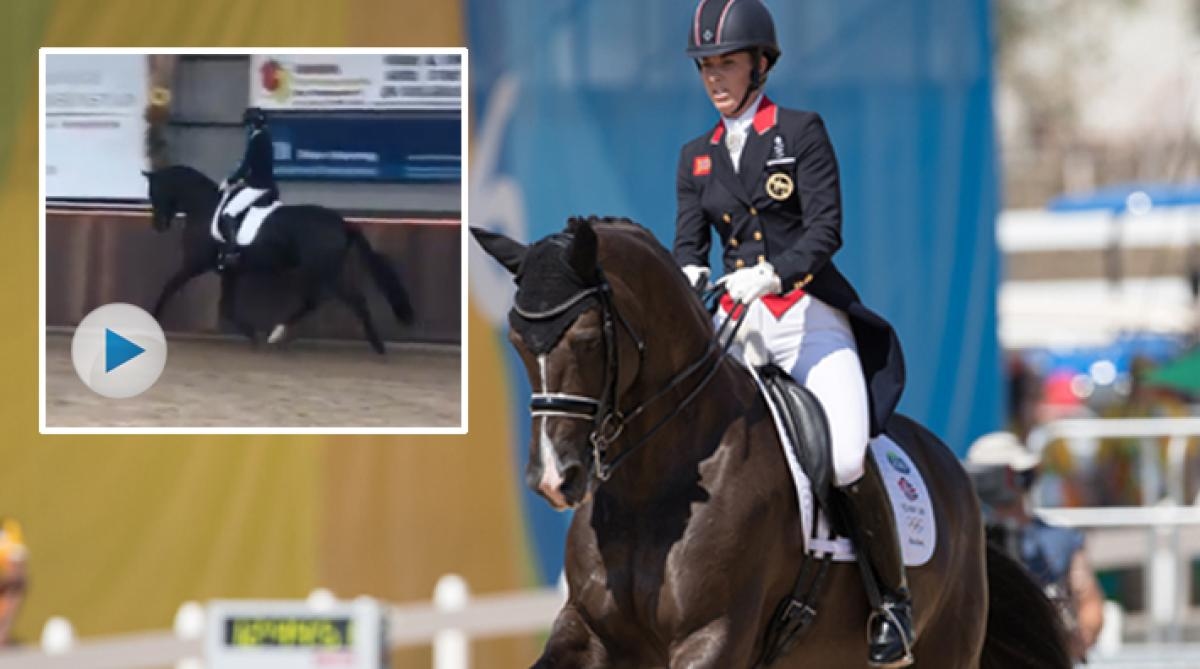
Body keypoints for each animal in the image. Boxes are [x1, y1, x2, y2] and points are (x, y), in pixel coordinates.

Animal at [142, 165, 415, 354]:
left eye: (154, 192)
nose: (158, 225)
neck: (205, 208)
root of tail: (342, 224)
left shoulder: (194, 264)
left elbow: (169, 287)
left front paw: (153, 319)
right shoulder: (231, 271)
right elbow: (226, 307)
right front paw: (253, 335)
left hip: (320, 270)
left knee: (342, 301)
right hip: (325, 270)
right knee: (326, 301)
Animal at [470, 218, 1070, 666]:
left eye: (589, 339)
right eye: (516, 340)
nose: (553, 477)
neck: (653, 484)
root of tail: (953, 472)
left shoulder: (715, 636)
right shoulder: (590, 631)